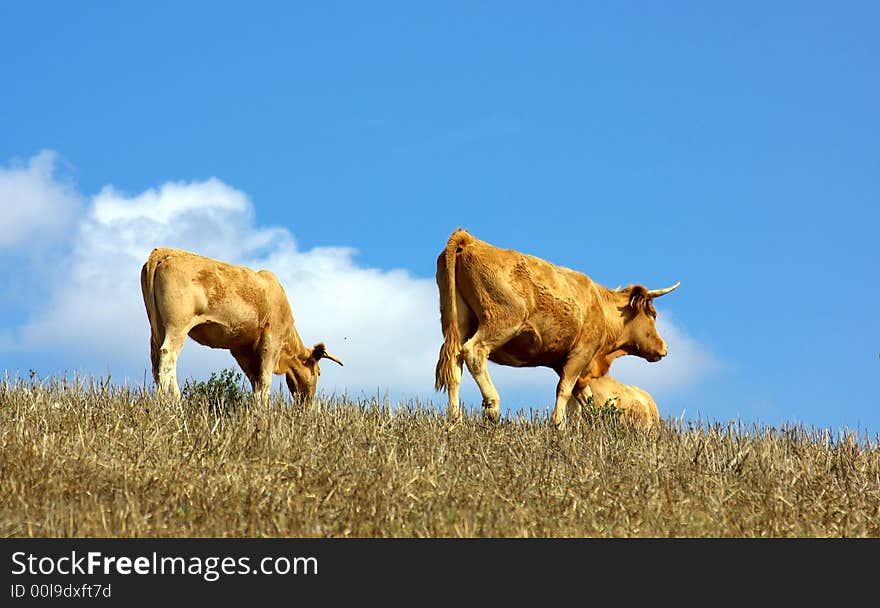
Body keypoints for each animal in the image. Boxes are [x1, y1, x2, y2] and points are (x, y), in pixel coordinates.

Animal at [139, 247, 342, 404]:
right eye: (318, 372)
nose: (307, 402)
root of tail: (165, 251)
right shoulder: (272, 341)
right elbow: (265, 379)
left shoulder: (242, 349)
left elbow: (256, 380)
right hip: (177, 325)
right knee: (168, 356)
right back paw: (174, 401)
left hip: (157, 327)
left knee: (157, 361)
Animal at [434, 228, 680, 428]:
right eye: (654, 315)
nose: (665, 348)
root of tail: (470, 240)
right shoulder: (581, 353)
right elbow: (565, 390)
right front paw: (558, 425)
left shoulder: (566, 363)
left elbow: (584, 399)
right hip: (501, 322)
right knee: (474, 352)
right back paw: (492, 407)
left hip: (458, 322)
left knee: (454, 363)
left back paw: (455, 418)